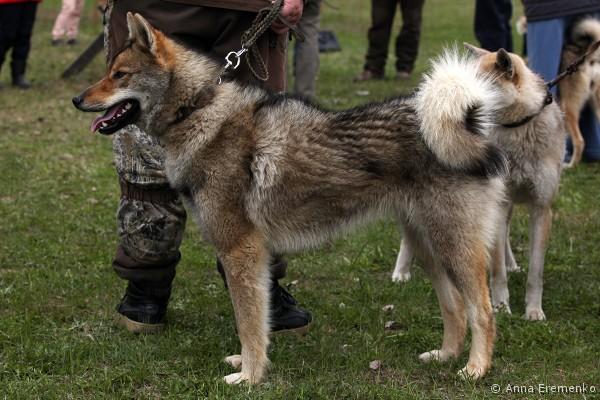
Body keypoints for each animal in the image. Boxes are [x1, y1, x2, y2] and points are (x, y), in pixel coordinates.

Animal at [73, 13, 508, 384]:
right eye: (108, 71)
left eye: (120, 75)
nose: (78, 99)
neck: (197, 110)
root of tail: (471, 121)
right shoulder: (251, 256)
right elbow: (256, 321)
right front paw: (248, 362)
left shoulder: (240, 251)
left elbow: (248, 321)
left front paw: (249, 376)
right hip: (427, 244)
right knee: (455, 308)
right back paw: (445, 355)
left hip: (453, 245)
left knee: (483, 311)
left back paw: (476, 369)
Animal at [393, 45, 565, 322]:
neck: (518, 128)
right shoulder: (501, 204)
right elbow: (496, 272)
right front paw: (501, 306)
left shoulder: (541, 208)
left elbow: (535, 272)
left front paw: (533, 310)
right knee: (410, 237)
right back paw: (401, 272)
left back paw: (512, 264)